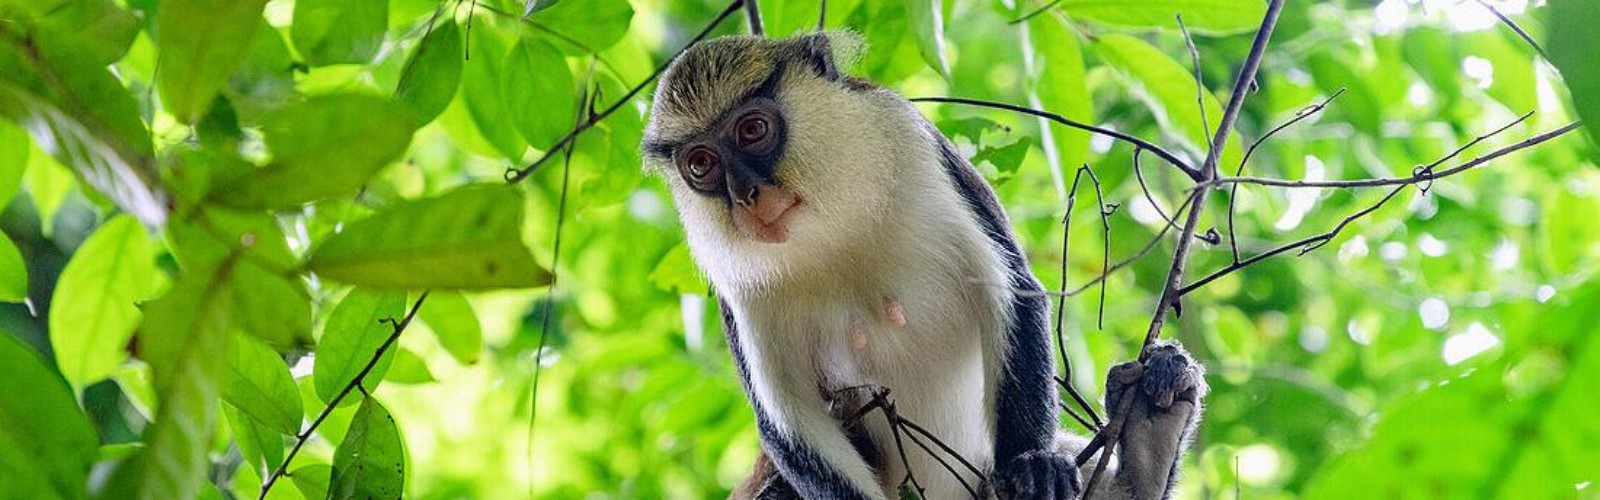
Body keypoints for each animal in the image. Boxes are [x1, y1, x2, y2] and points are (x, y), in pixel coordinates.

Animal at [640, 32, 1207, 499]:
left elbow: (1011, 292)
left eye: (753, 129)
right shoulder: (734, 284)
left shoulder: (909, 140)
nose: (746, 195)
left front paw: (1032, 465)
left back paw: (1150, 440)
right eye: (701, 164)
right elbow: (790, 424)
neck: (832, 231)